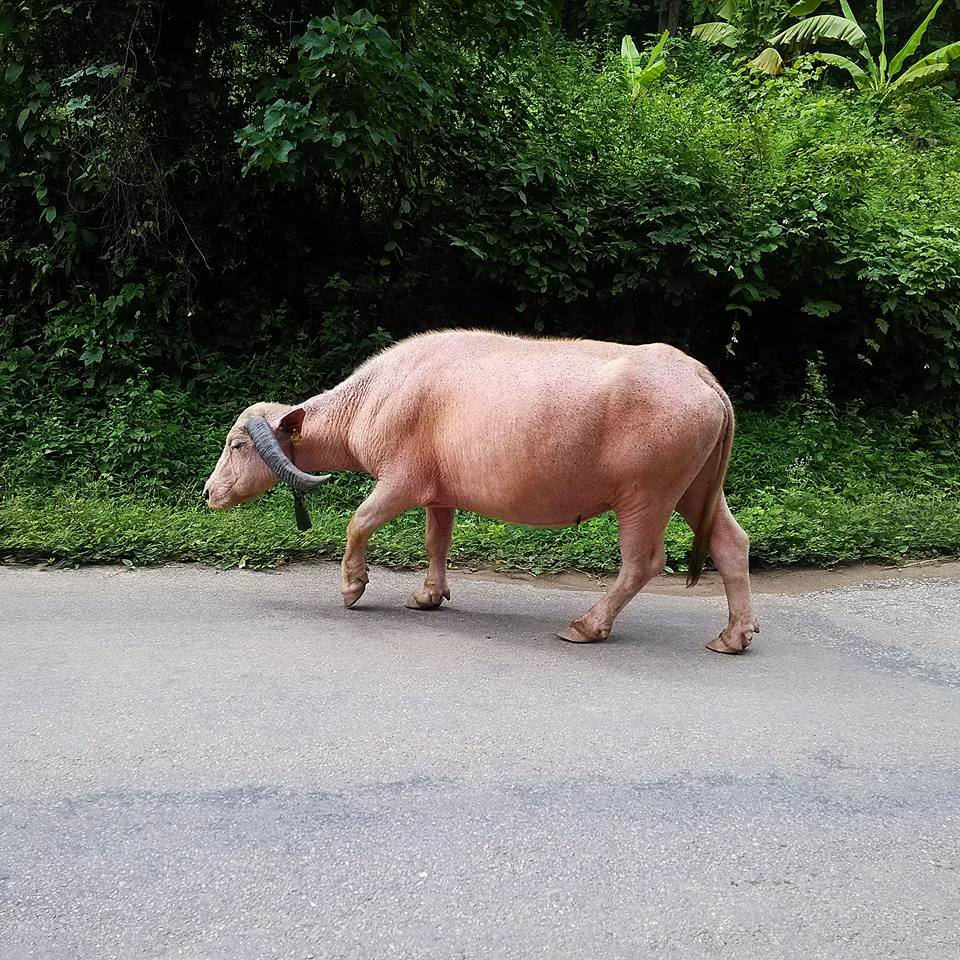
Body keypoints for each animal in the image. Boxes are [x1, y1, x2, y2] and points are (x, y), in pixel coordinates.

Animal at [202, 330, 756, 652]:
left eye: (236, 444)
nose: (208, 493)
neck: (371, 399)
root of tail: (700, 376)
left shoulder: (400, 482)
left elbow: (358, 521)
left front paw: (352, 586)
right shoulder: (438, 492)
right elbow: (436, 541)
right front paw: (429, 595)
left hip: (647, 494)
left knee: (643, 561)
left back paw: (587, 625)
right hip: (696, 487)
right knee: (732, 543)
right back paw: (734, 635)